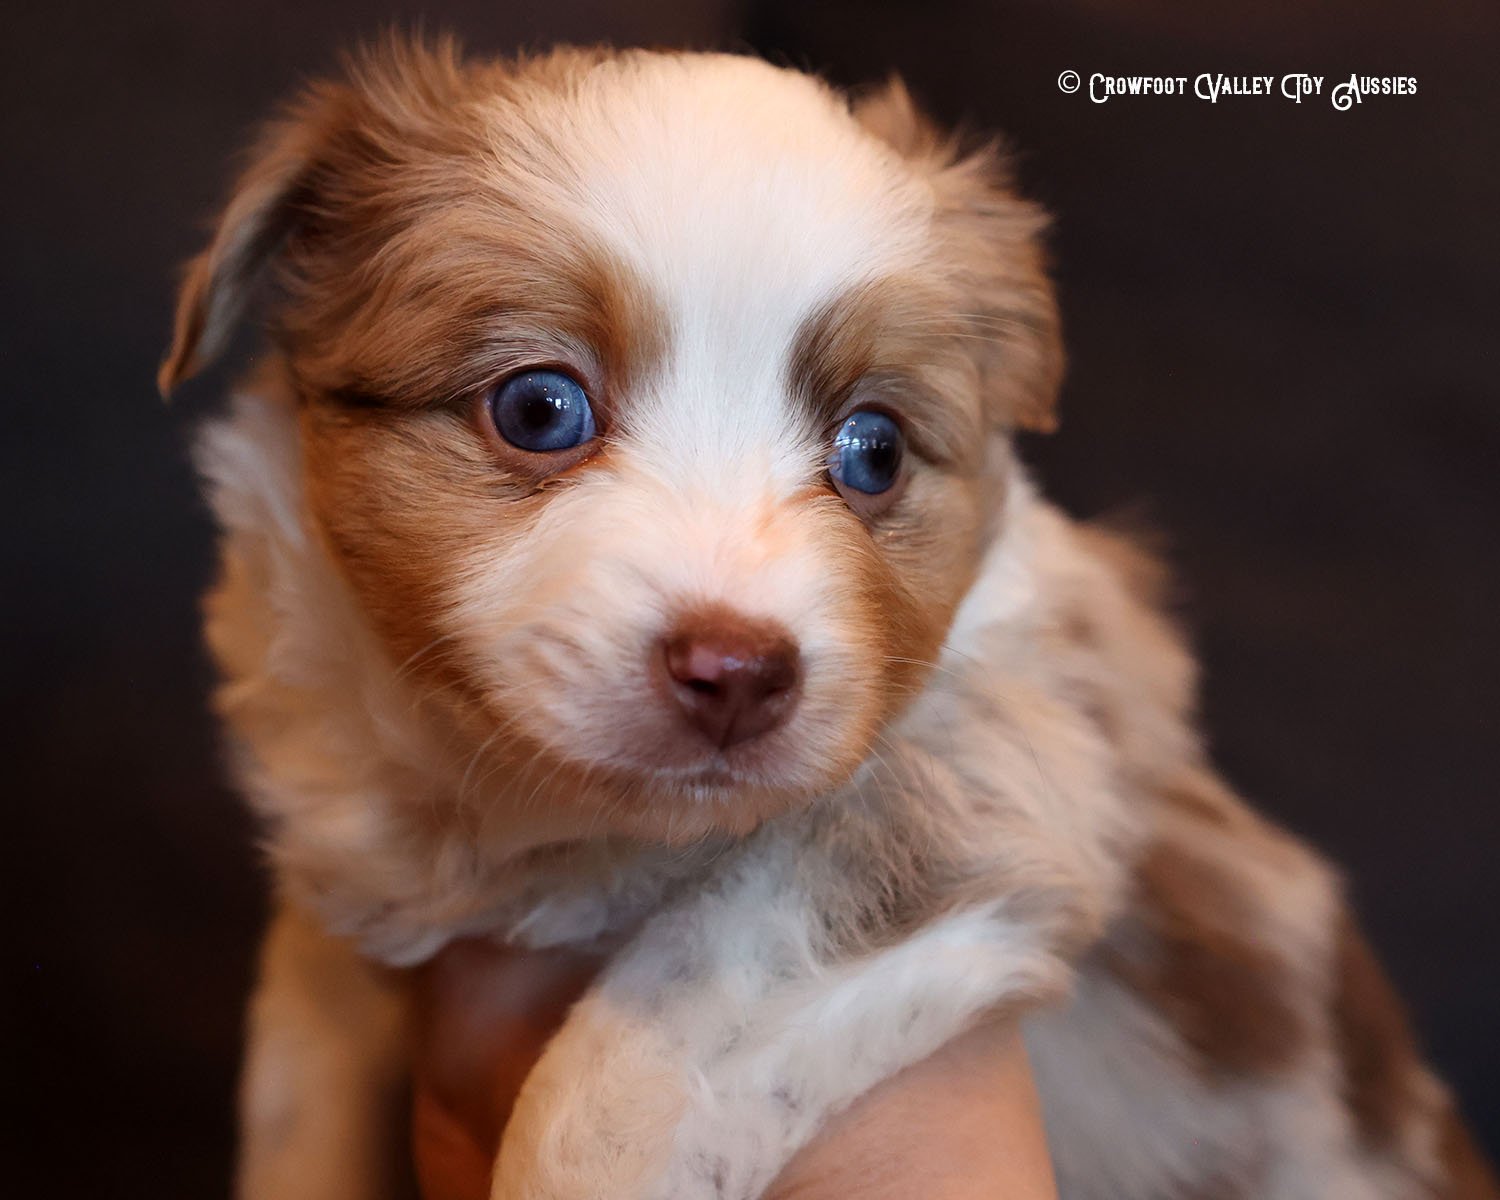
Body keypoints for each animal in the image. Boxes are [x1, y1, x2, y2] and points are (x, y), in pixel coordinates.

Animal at [158, 37, 1494, 1200]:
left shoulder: (1002, 766)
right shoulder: (341, 902)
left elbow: (627, 1065)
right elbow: (299, 1094)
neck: (537, 823)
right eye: (539, 408)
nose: (738, 671)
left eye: (874, 450)